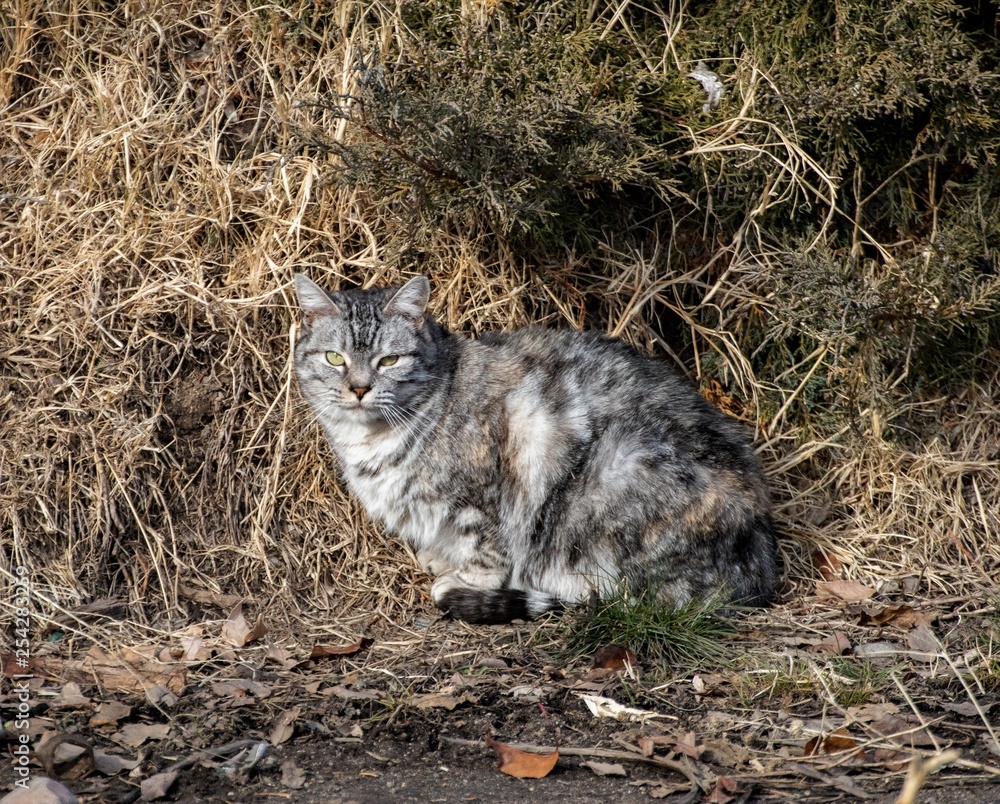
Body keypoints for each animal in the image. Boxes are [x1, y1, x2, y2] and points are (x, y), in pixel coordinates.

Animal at [292, 274, 776, 624]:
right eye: (334, 358)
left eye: (389, 360)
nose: (359, 388)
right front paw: (437, 556)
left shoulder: (486, 492)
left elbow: (486, 544)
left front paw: (467, 579)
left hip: (620, 468)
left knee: (624, 594)